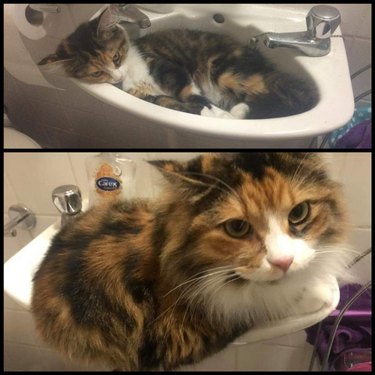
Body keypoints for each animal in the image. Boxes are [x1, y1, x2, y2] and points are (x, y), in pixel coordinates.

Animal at [31, 154, 352, 372]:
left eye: (299, 212)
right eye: (237, 228)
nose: (284, 262)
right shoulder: (181, 335)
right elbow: (264, 300)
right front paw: (316, 293)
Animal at [38, 7, 318, 119]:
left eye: (115, 57)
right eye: (96, 73)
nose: (116, 77)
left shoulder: (168, 68)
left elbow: (189, 94)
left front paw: (218, 114)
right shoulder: (147, 97)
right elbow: (170, 102)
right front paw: (214, 114)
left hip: (224, 71)